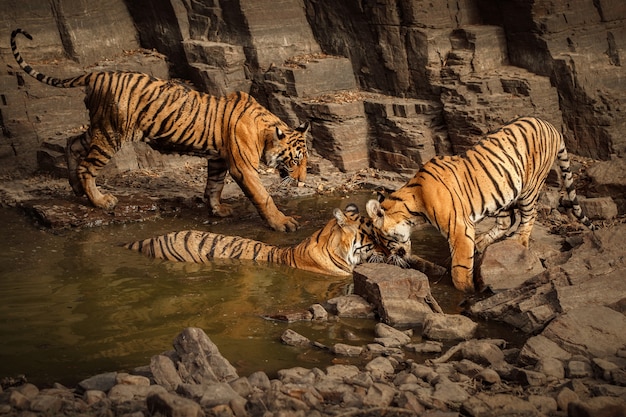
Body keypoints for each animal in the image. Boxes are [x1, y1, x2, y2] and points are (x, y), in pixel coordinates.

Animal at [11, 28, 308, 232]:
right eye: (295, 161)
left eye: (306, 161)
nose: (303, 181)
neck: (266, 130)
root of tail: (97, 74)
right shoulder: (243, 167)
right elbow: (263, 196)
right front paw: (283, 223)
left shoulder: (218, 158)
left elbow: (214, 186)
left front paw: (217, 210)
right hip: (111, 133)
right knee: (87, 166)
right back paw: (101, 201)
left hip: (100, 127)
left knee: (72, 143)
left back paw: (75, 189)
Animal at [366, 116, 596, 292]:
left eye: (383, 240)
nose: (388, 259)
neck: (414, 208)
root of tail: (552, 126)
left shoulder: (459, 228)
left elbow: (459, 267)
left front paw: (467, 291)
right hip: (503, 194)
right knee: (506, 221)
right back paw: (481, 242)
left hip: (530, 186)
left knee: (529, 216)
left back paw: (518, 240)